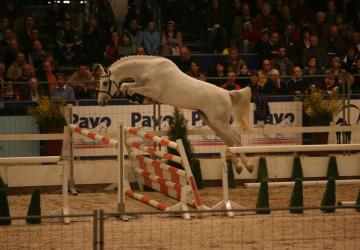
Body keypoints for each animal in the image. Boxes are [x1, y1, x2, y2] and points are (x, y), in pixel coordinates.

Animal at [97, 55, 253, 174]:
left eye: (104, 83)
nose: (100, 101)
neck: (148, 69)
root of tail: (227, 93)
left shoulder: (151, 90)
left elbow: (128, 87)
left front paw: (135, 97)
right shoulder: (142, 86)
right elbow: (127, 86)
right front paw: (136, 99)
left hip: (219, 122)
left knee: (235, 139)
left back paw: (247, 166)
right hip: (212, 122)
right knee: (230, 141)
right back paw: (239, 167)